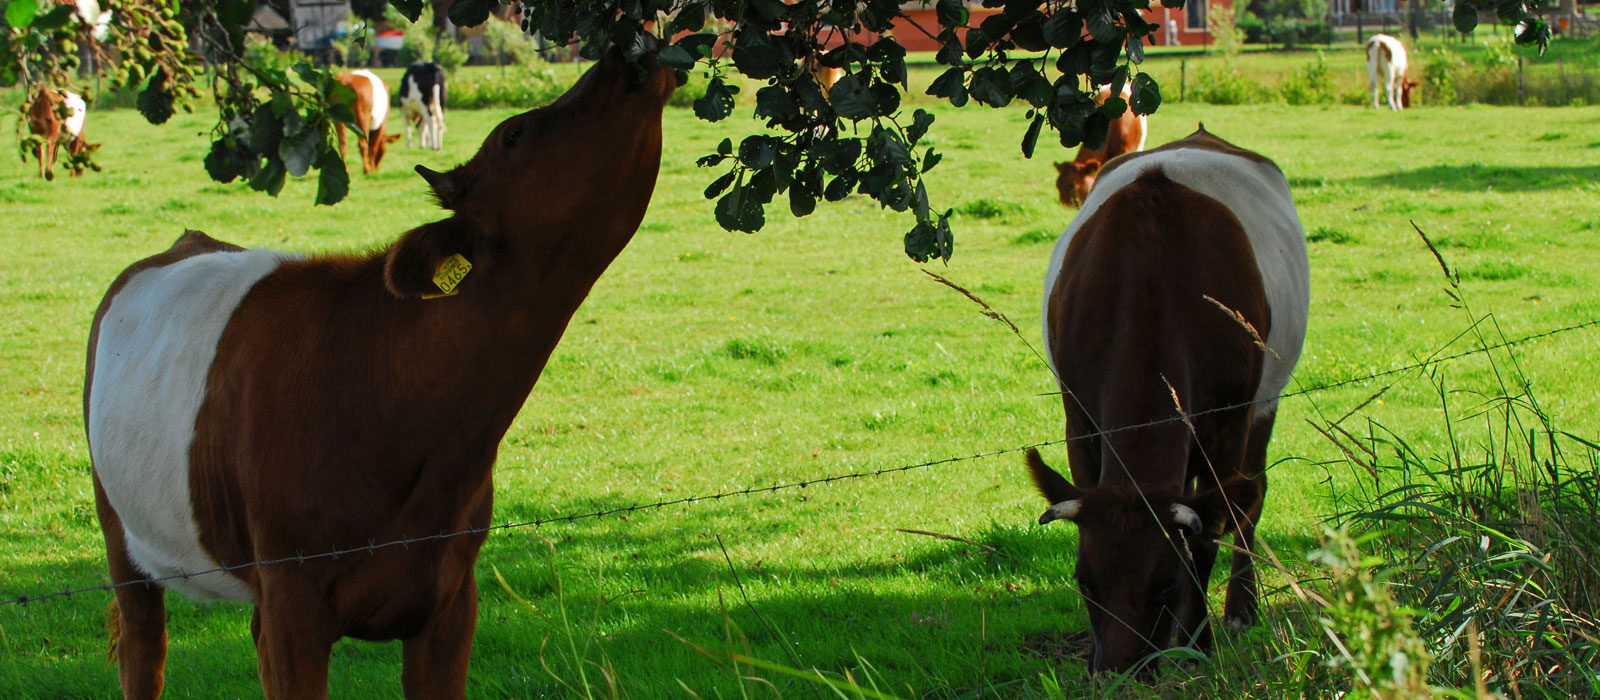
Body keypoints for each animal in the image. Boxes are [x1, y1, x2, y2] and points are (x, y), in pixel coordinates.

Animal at [87, 49, 675, 700]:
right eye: (514, 133)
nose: (621, 55)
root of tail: (182, 242)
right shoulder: (292, 601)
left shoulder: (450, 600)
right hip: (120, 534)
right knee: (144, 648)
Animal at [1030, 125, 1305, 671]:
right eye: (1085, 584)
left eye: (1164, 586)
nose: (1117, 673)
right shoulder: (1079, 420)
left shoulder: (1230, 420)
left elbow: (1209, 531)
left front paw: (1197, 639)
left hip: (1264, 403)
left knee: (1251, 495)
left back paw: (1240, 609)